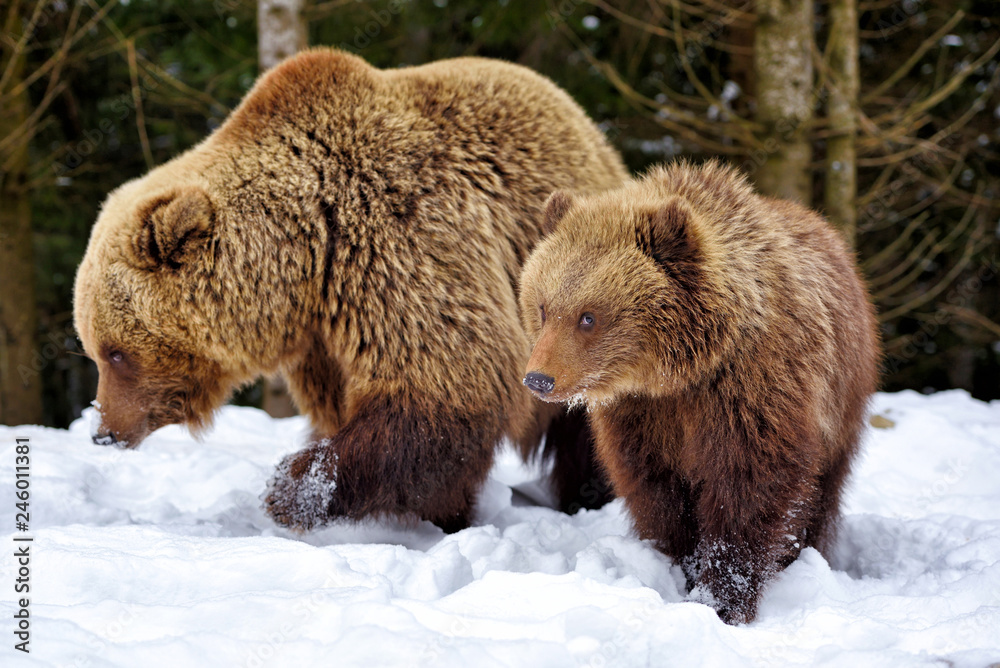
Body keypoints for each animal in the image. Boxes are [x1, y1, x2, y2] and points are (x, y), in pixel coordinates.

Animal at [73, 48, 628, 533]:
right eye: (97, 350)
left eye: (116, 353)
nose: (102, 432)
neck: (309, 255)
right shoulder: (324, 336)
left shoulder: (400, 244)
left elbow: (441, 387)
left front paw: (293, 487)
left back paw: (590, 497)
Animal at [518, 161, 880, 624]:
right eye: (543, 307)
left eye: (588, 316)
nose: (539, 379)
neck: (678, 373)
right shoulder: (643, 416)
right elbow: (656, 492)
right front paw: (679, 568)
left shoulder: (750, 393)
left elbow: (748, 489)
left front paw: (723, 600)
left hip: (843, 397)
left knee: (822, 493)